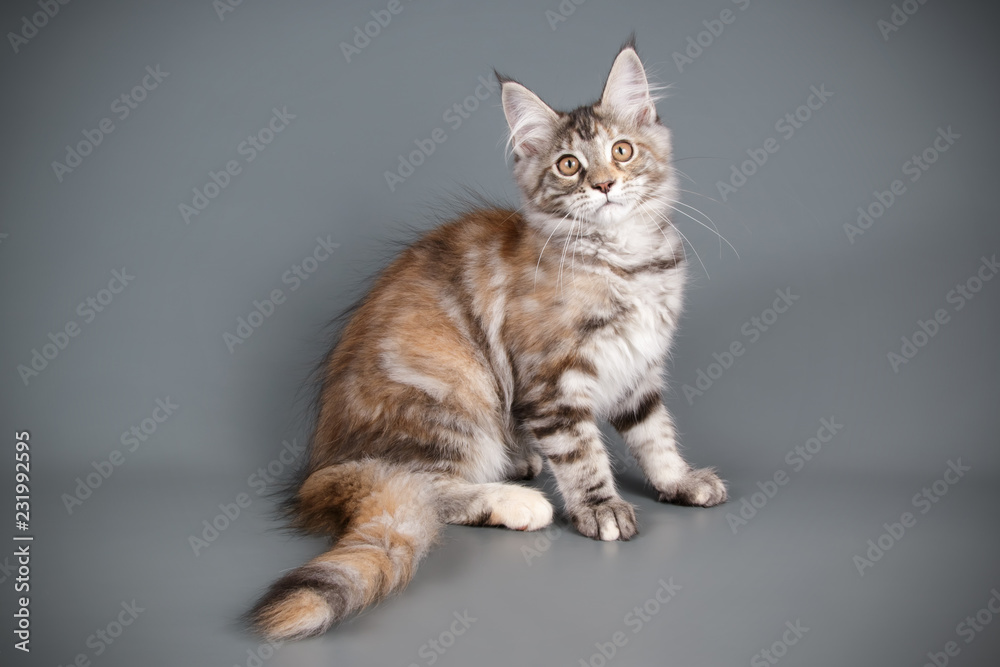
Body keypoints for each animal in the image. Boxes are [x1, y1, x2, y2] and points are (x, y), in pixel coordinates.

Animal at [252, 37, 728, 640]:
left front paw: (680, 481)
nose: (604, 185)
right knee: (422, 489)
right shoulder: (552, 384)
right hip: (455, 398)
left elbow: (655, 435)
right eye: (568, 166)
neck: (624, 261)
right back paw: (519, 502)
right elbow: (583, 453)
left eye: (621, 151)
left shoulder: (637, 368)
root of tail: (323, 467)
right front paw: (600, 508)